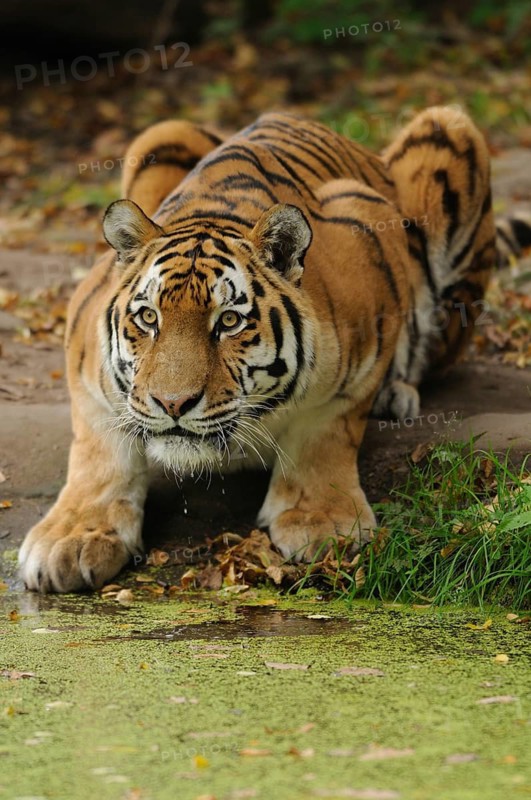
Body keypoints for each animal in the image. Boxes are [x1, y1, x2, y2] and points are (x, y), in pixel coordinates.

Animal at [19, 106, 502, 593]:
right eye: (149, 318)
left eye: (229, 322)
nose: (172, 403)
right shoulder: (84, 353)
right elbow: (98, 450)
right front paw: (73, 537)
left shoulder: (364, 226)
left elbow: (326, 431)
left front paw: (322, 522)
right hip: (161, 135)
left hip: (449, 131)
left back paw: (396, 393)